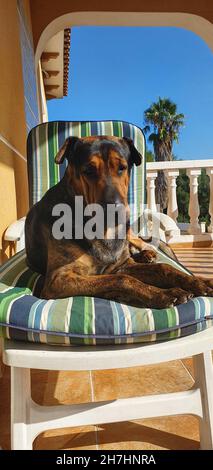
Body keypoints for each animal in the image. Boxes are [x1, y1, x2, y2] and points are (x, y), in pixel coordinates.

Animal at [25, 136, 213, 308]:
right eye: (88, 170)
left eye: (122, 168)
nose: (116, 212)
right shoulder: (58, 279)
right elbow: (123, 279)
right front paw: (165, 293)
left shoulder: (122, 264)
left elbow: (164, 268)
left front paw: (200, 282)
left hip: (130, 234)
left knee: (141, 246)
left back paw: (147, 254)